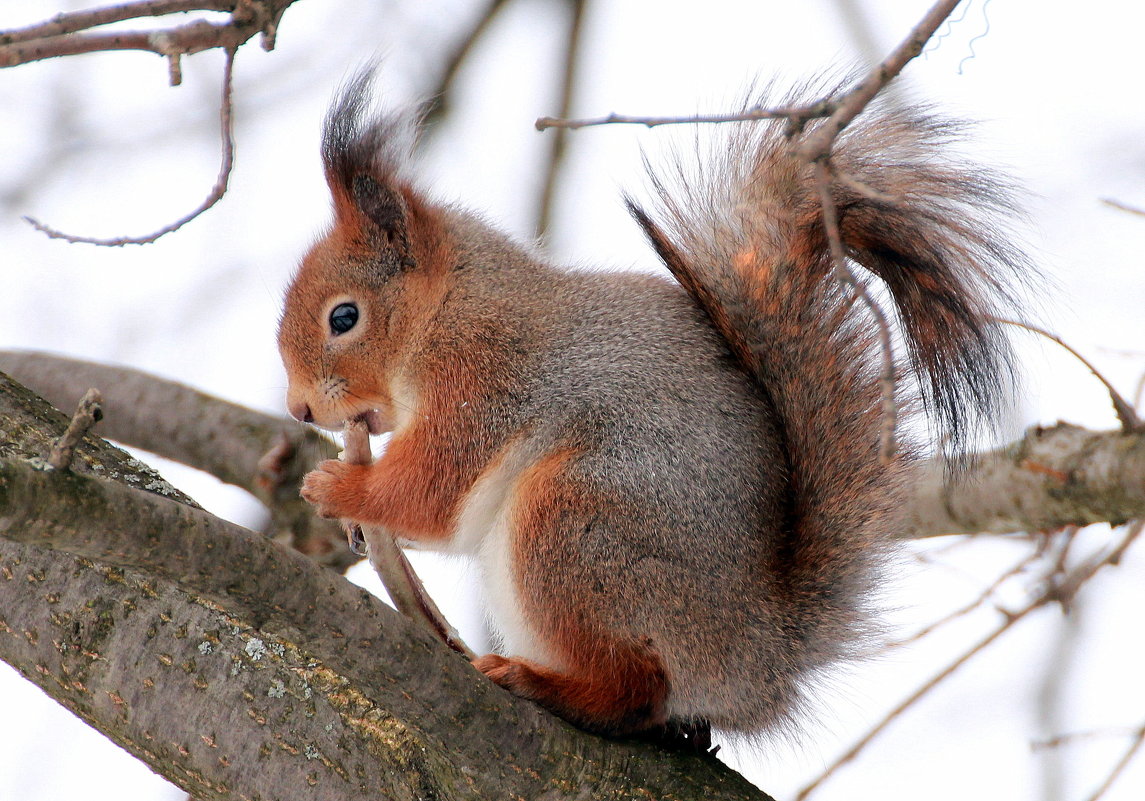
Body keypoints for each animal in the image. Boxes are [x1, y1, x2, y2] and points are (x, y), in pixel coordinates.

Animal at [277, 73, 1030, 746]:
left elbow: (432, 492)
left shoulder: (484, 379)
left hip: (577, 521)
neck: (450, 306)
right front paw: (355, 520)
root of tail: (757, 657)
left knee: (637, 690)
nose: (301, 409)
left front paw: (337, 487)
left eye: (344, 317)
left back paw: (544, 682)